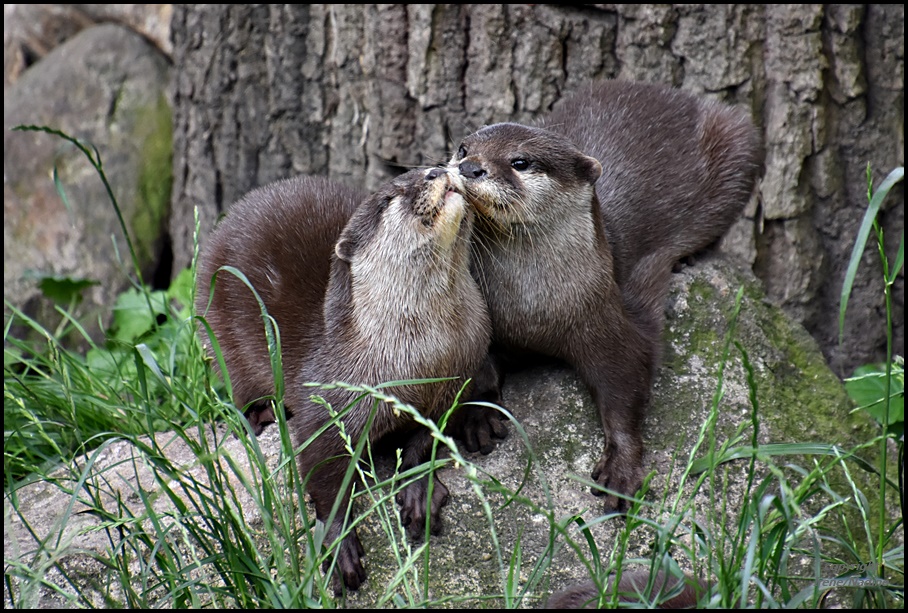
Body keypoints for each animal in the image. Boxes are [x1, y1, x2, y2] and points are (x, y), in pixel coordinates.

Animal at [450, 81, 764, 512]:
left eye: (520, 161)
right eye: (463, 148)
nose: (470, 167)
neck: (534, 307)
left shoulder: (605, 316)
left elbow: (626, 384)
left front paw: (621, 467)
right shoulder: (480, 315)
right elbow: (477, 368)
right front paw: (480, 416)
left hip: (739, 139)